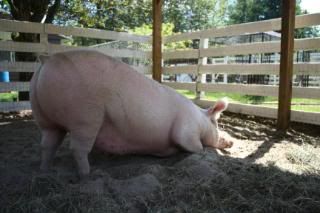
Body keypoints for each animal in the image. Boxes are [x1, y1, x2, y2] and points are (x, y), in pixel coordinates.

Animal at [30, 49, 234, 177]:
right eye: (217, 124)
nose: (231, 141)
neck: (200, 120)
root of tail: (47, 60)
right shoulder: (187, 130)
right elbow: (196, 147)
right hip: (85, 117)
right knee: (77, 148)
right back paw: (88, 174)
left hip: (44, 117)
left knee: (46, 145)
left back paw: (44, 170)